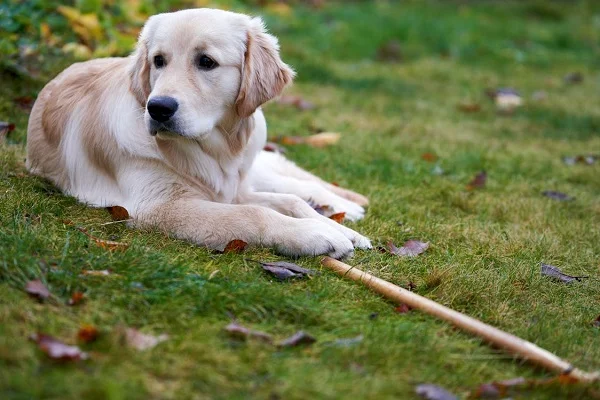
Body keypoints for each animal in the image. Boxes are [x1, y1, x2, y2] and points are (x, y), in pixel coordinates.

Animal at [27, 9, 370, 260]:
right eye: (158, 61)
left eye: (206, 62)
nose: (157, 108)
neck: (217, 149)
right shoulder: (160, 207)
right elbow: (255, 214)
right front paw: (317, 233)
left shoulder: (233, 189)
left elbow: (290, 202)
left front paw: (340, 230)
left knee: (291, 183)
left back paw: (345, 207)